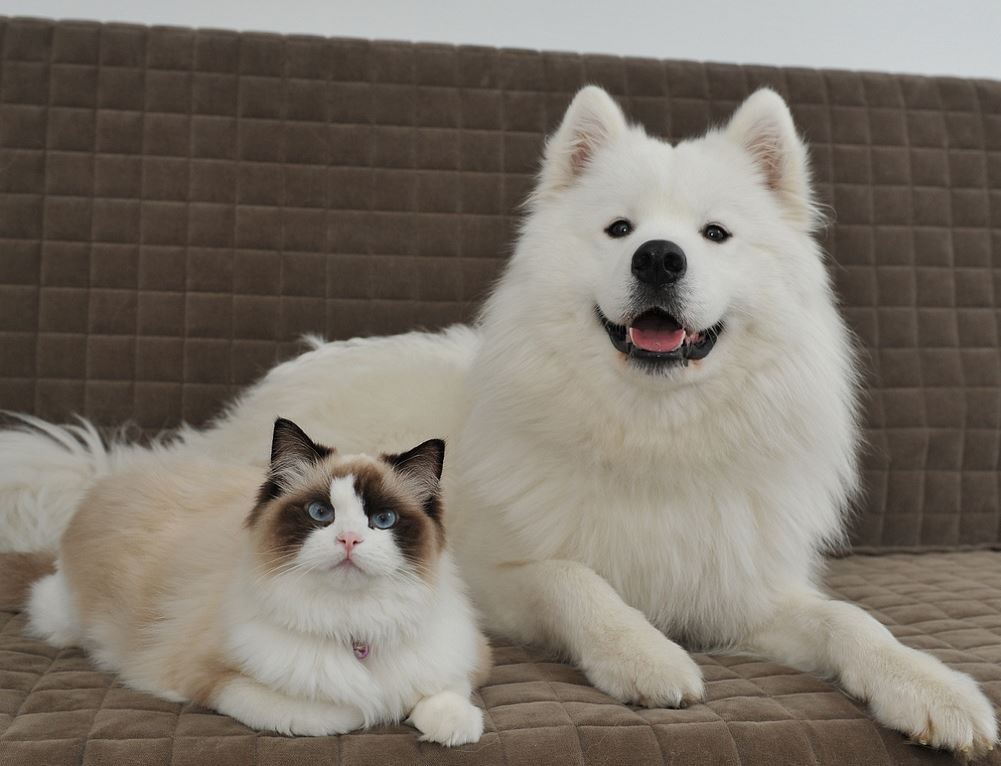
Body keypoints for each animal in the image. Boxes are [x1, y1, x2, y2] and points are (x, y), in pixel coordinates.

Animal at [14, 414, 488, 744]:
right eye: (321, 513)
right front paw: (375, 709)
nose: (349, 539)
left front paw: (452, 727)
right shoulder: (220, 682)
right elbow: (346, 710)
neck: (353, 627)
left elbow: (447, 694)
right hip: (64, 618)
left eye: (382, 519)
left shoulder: (463, 658)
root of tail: (118, 471)